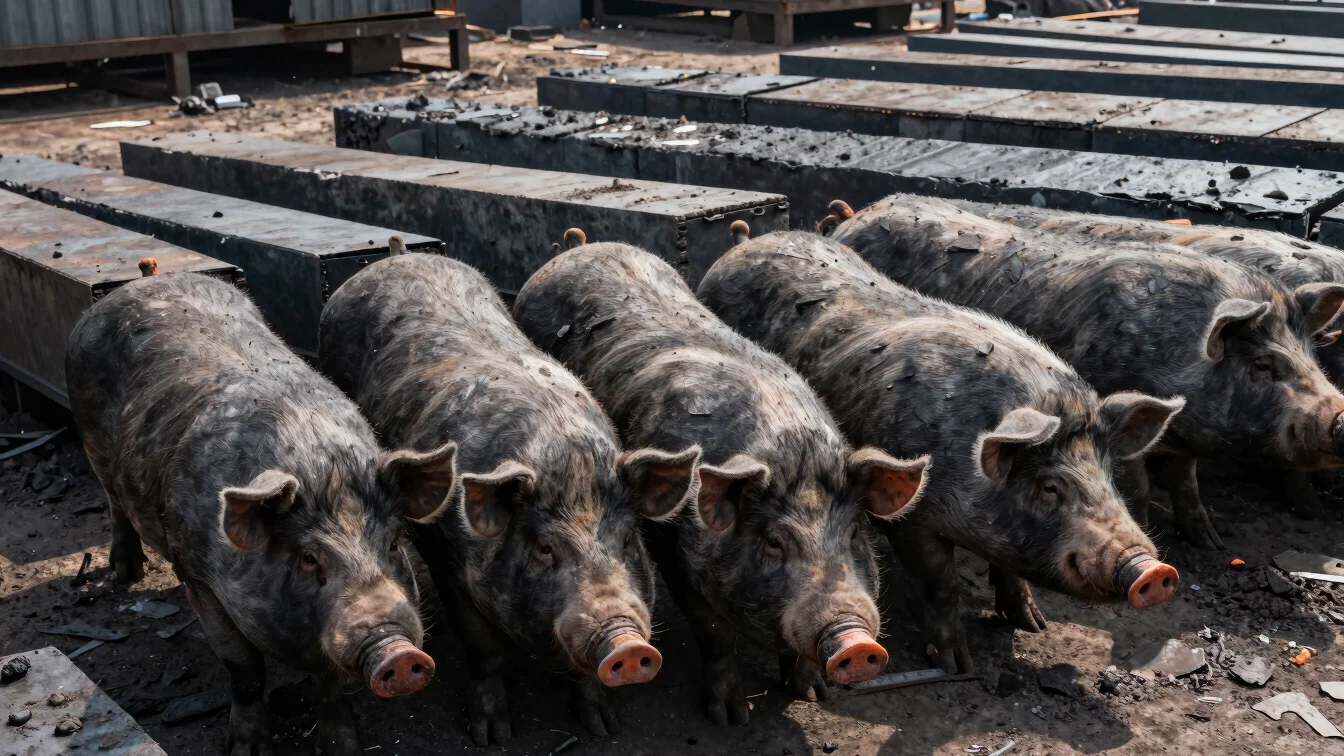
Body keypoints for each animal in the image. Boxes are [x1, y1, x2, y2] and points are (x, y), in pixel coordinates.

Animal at [67, 269, 452, 756]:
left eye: (395, 543)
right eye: (309, 558)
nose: (399, 654)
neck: (319, 465)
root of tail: (141, 282)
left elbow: (329, 686)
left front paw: (341, 746)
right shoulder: (198, 576)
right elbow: (245, 669)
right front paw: (245, 749)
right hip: (90, 442)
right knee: (113, 501)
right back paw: (127, 575)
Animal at [319, 252, 700, 744]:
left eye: (629, 540)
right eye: (545, 549)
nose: (630, 647)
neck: (561, 455)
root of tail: (400, 253)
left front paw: (603, 726)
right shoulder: (449, 561)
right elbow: (484, 650)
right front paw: (491, 736)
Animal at [514, 241, 928, 725]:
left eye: (854, 535)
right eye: (774, 542)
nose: (858, 644)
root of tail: (582, 248)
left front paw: (813, 695)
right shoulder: (678, 560)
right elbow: (716, 636)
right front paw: (731, 717)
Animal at [698, 229, 1183, 673]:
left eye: (1109, 476)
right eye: (1050, 487)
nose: (1153, 570)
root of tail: (747, 243)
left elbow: (1012, 570)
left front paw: (1032, 624)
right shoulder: (914, 521)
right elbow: (941, 585)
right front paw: (956, 665)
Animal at [826, 195, 1344, 549]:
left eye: (1313, 356)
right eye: (1262, 364)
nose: (1339, 416)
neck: (1174, 354)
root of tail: (854, 217)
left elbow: (1187, 481)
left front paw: (1211, 543)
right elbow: (1138, 486)